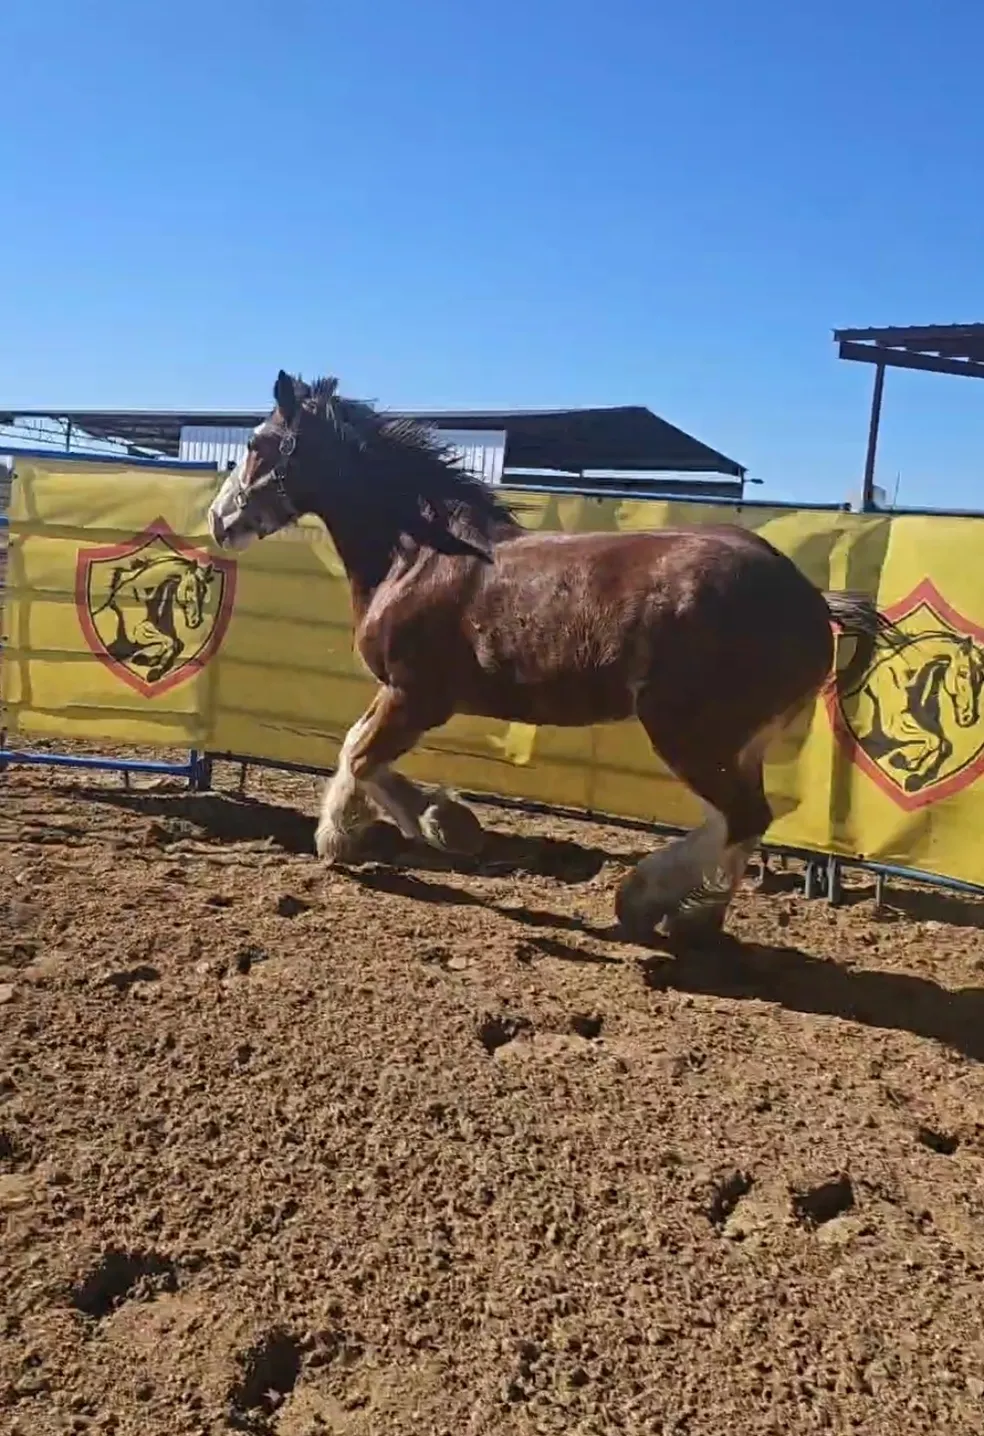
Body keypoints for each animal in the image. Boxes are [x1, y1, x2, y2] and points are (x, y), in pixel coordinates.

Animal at [207, 369, 898, 943]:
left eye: (258, 443)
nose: (218, 520)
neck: (419, 558)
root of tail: (810, 601)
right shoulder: (401, 694)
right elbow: (353, 746)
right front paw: (345, 837)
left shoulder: (417, 695)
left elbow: (361, 753)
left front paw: (443, 828)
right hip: (736, 742)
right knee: (738, 822)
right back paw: (692, 917)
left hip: (692, 734)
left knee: (742, 817)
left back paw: (646, 903)